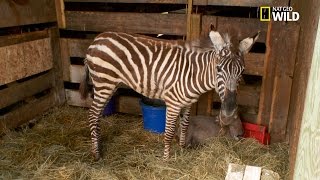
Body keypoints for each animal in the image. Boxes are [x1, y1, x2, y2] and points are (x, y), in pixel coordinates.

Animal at [80, 25, 260, 160]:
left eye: (242, 71)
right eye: (219, 69)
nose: (228, 114)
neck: (193, 74)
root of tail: (97, 39)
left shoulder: (188, 104)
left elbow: (185, 127)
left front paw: (181, 150)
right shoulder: (173, 104)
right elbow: (169, 132)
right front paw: (166, 160)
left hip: (110, 86)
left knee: (97, 116)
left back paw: (98, 145)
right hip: (104, 84)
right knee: (92, 115)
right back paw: (96, 154)